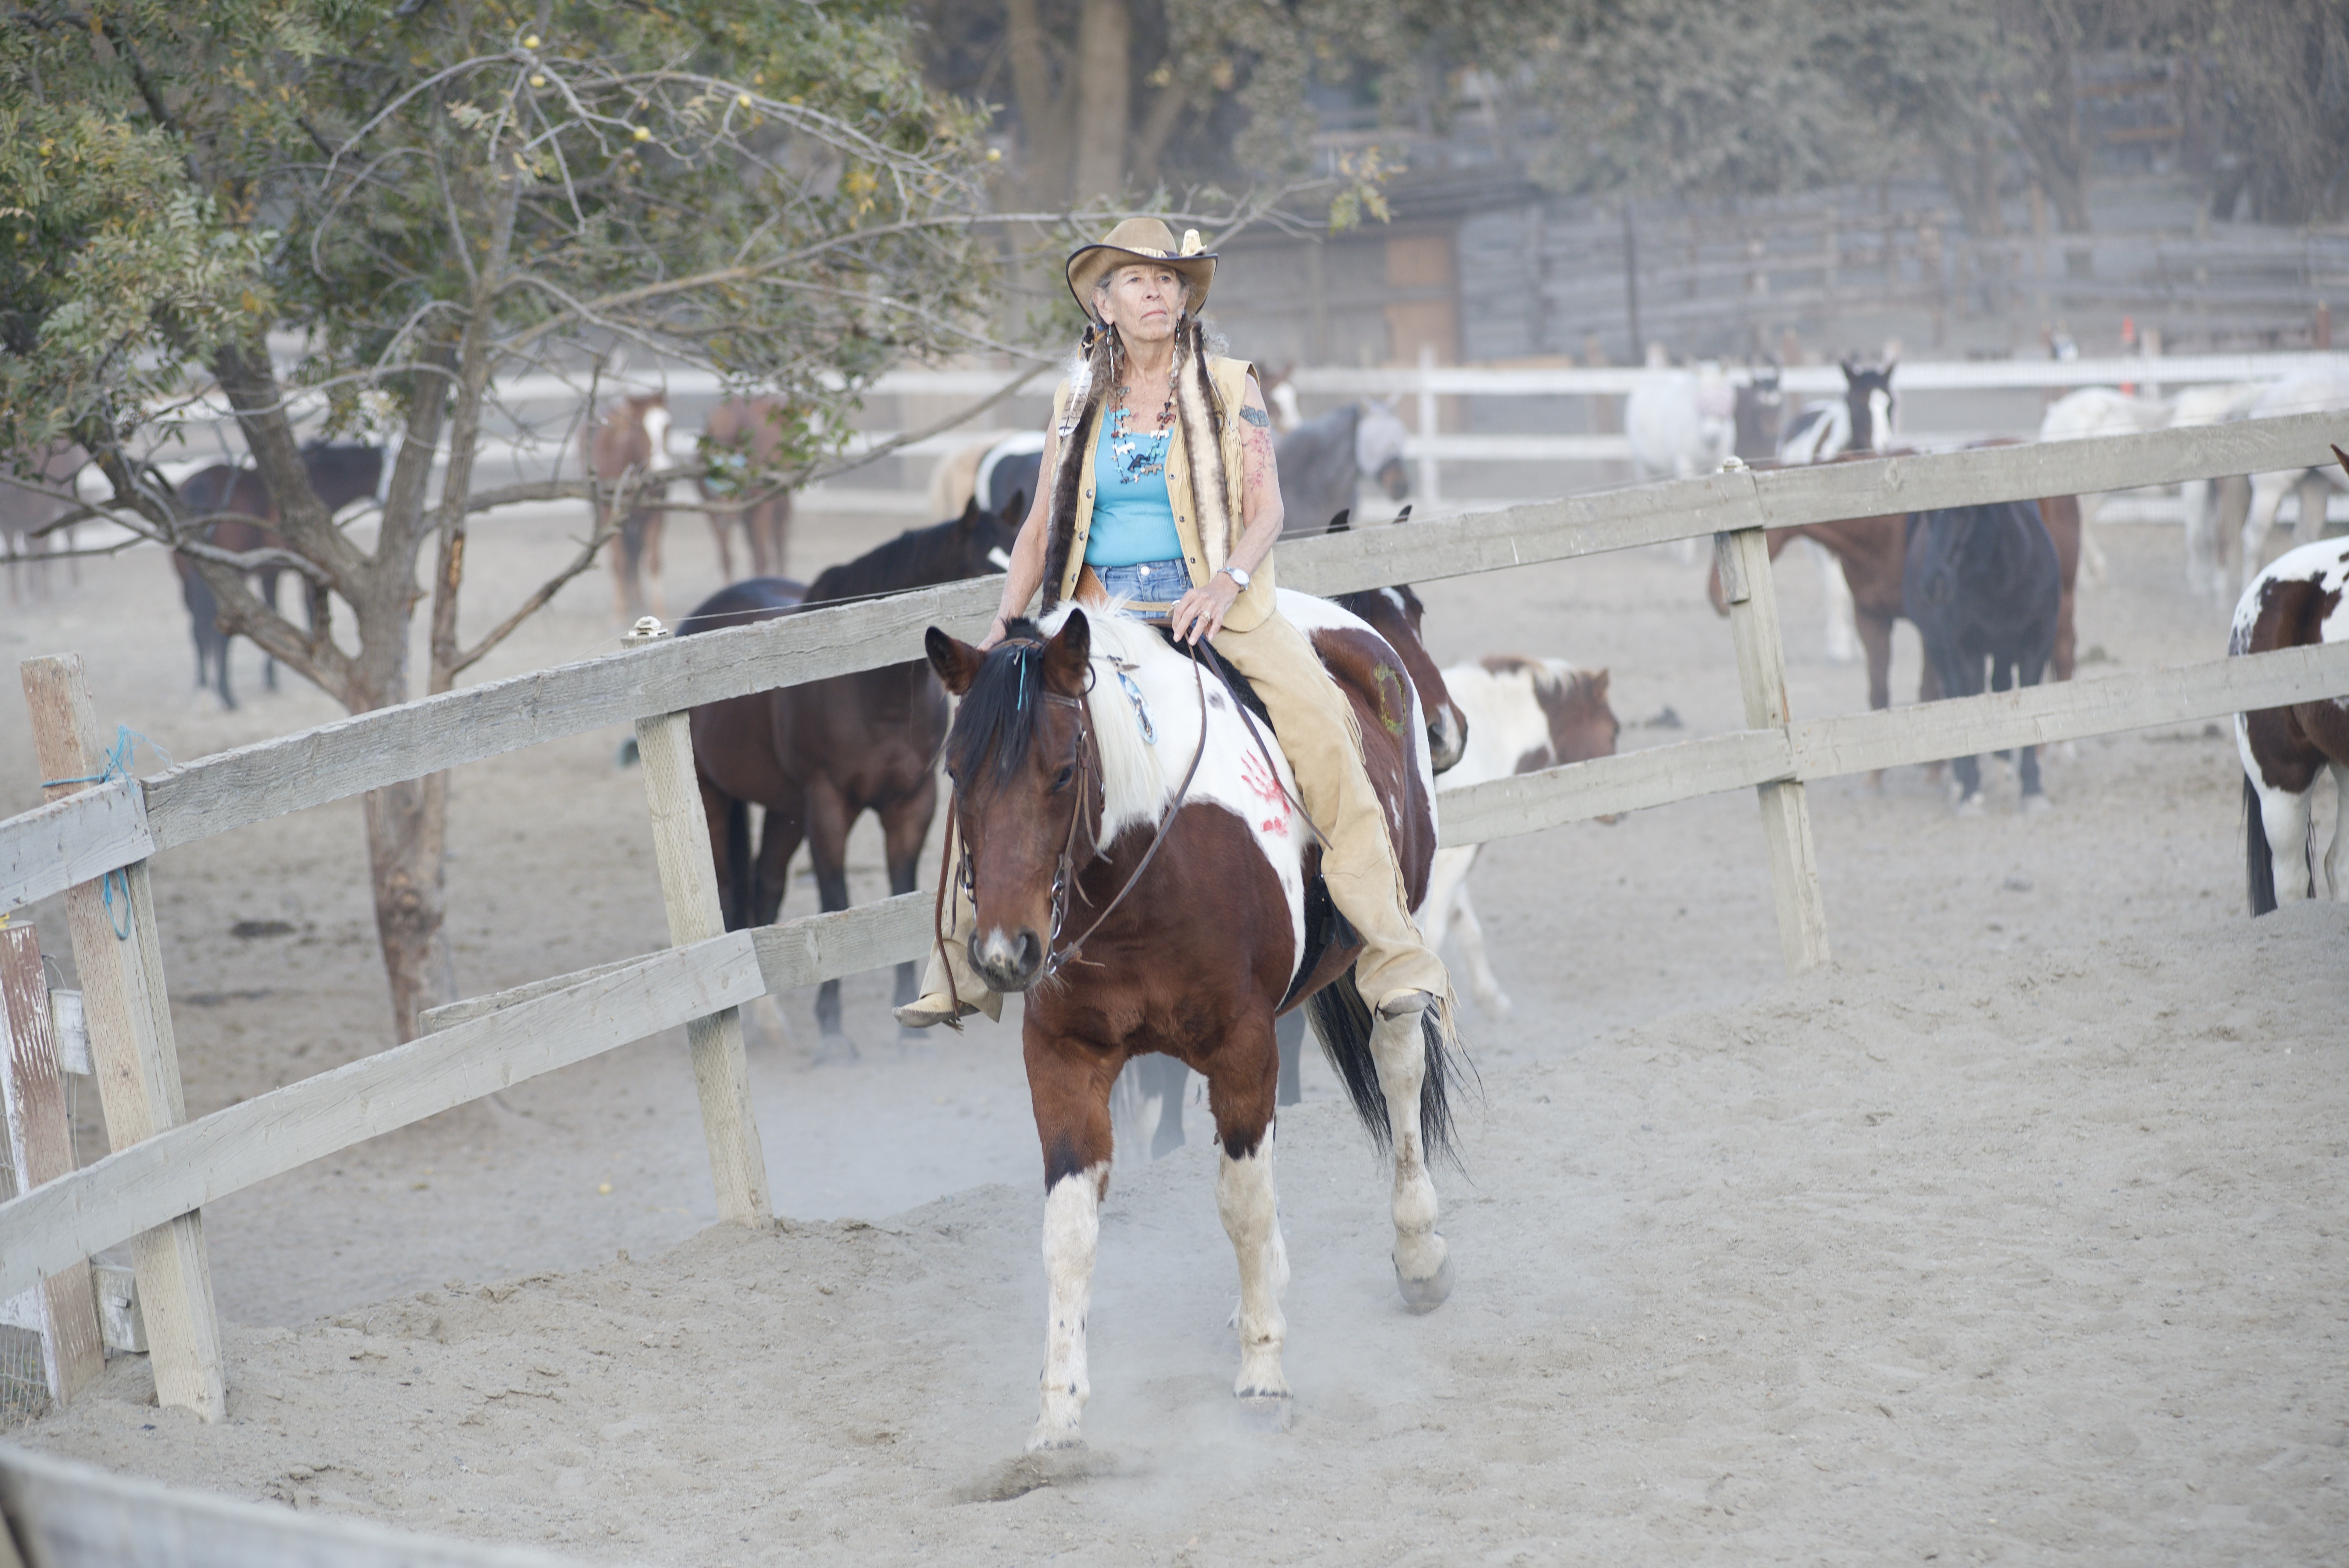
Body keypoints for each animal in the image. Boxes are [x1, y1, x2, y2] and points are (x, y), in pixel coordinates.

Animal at [587, 392, 681, 624]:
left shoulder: (656, 515)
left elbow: (654, 561)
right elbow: (620, 563)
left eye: (669, 425)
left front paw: (659, 609)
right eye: (639, 428)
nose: (662, 471)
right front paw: (619, 612)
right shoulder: (610, 517)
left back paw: (638, 599)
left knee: (637, 555)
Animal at [695, 399, 798, 582]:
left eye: (735, 475)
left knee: (779, 538)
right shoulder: (711, 509)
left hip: (780, 499)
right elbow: (726, 559)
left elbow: (761, 556)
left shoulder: (762, 506)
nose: (725, 518)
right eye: (712, 479)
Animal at [1409, 652, 1616, 1009]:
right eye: (1614, 729)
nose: (1619, 813)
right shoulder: (1454, 858)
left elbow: (1465, 925)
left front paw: (1491, 999)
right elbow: (1434, 937)